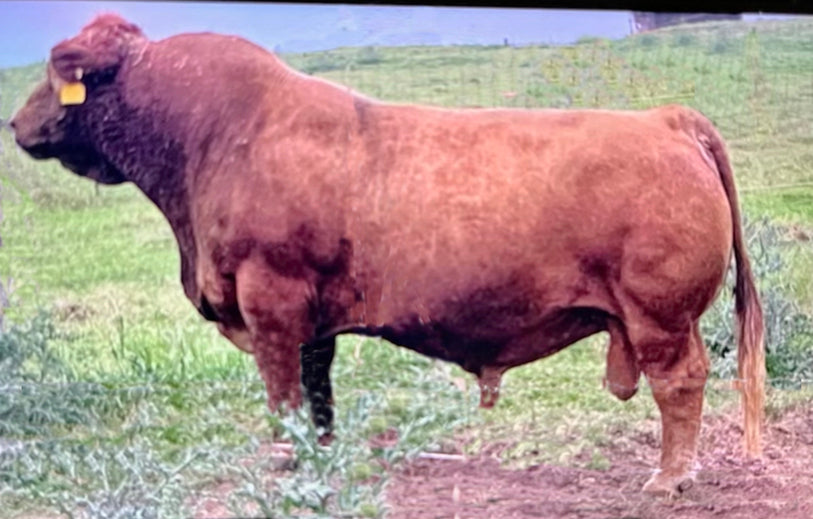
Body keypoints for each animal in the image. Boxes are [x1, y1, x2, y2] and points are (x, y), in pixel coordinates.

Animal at [10, 14, 764, 497]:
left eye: (53, 70)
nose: (15, 123)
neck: (216, 136)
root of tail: (663, 119)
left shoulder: (270, 301)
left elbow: (283, 395)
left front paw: (283, 464)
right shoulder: (310, 320)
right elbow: (316, 392)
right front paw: (318, 456)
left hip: (658, 316)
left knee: (680, 383)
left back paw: (668, 478)